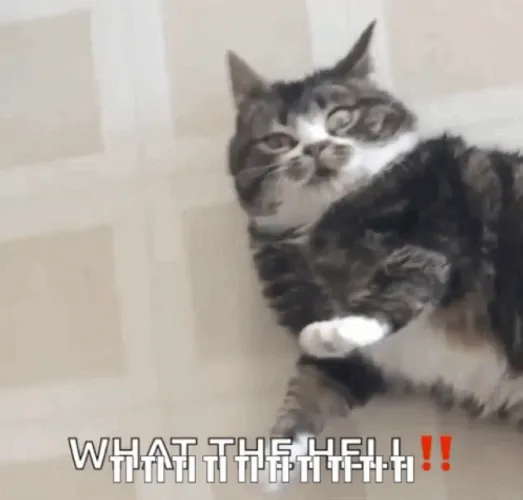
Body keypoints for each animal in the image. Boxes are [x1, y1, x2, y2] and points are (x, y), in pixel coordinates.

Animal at [225, 20, 523, 488]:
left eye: (340, 118)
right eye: (277, 140)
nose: (314, 148)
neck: (318, 223)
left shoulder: (435, 241)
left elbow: (401, 287)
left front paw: (336, 330)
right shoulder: (348, 368)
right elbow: (308, 391)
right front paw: (271, 462)